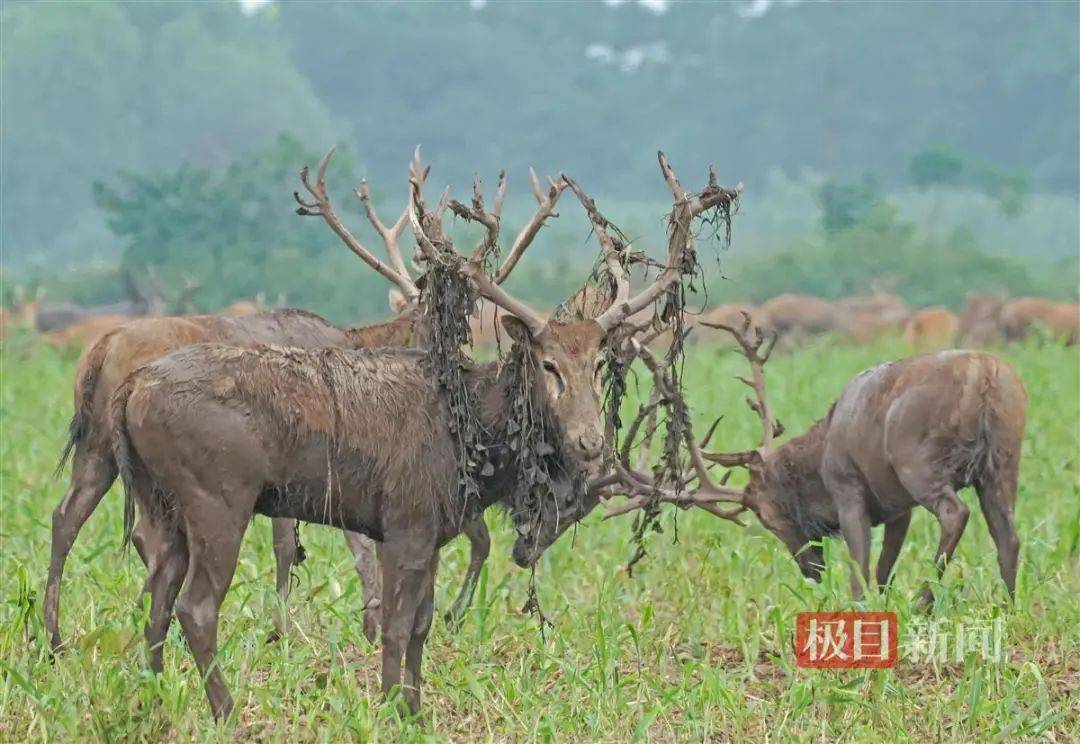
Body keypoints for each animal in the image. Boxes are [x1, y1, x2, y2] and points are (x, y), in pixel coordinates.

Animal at [108, 149, 740, 718]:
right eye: (548, 364)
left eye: (597, 364)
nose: (590, 441)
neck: (478, 441)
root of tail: (129, 390)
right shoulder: (405, 520)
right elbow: (395, 624)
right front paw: (390, 707)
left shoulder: (436, 530)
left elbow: (422, 625)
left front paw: (415, 708)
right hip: (217, 494)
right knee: (196, 606)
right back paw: (225, 712)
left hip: (162, 501)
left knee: (158, 595)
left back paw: (153, 702)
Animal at [613, 314, 1027, 608]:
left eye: (766, 517)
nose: (811, 570)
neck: (818, 459)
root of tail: (985, 378)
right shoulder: (898, 508)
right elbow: (883, 569)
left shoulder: (848, 490)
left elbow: (860, 567)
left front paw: (860, 608)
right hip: (1003, 460)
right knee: (1008, 534)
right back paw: (1007, 604)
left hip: (919, 463)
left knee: (955, 514)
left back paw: (924, 599)